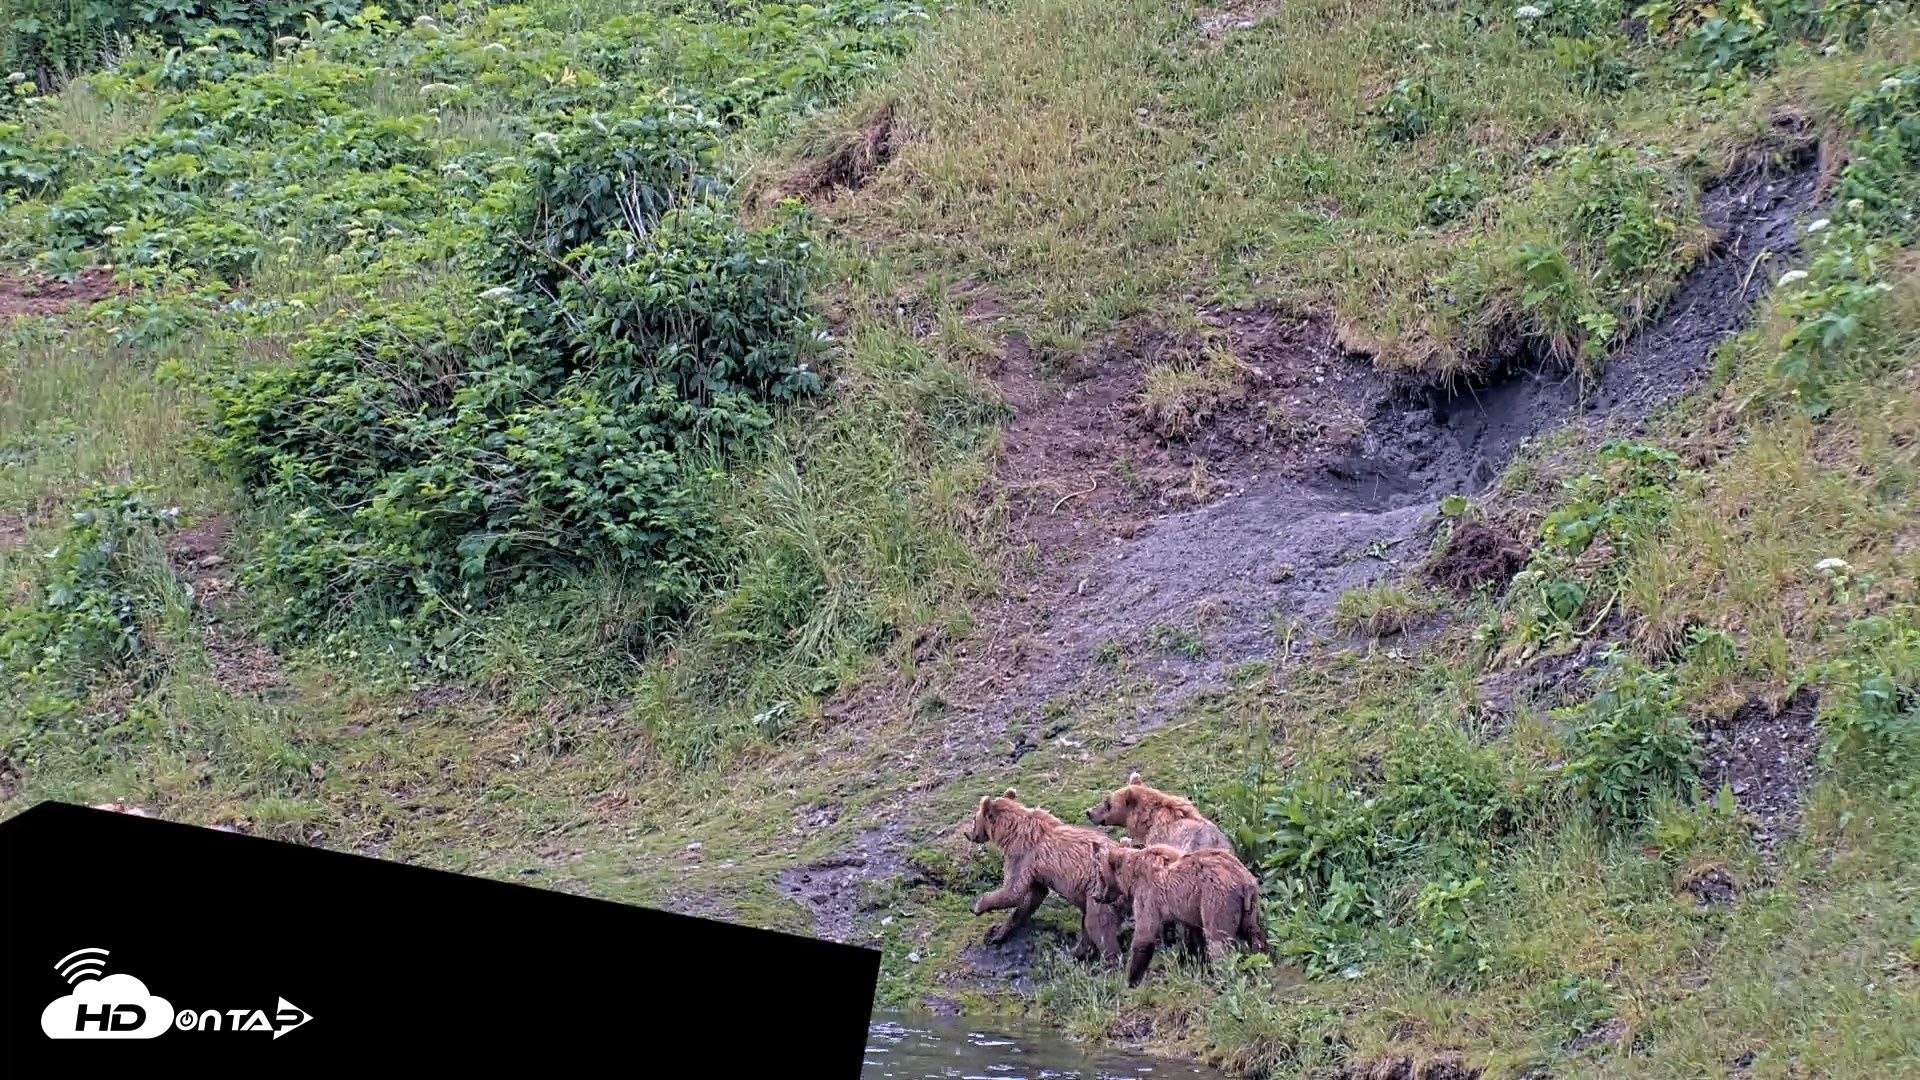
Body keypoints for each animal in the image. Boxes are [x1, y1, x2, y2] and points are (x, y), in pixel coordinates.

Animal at [966, 788, 1126, 963]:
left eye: (974, 818)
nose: (967, 834)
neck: (1010, 832)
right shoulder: (1036, 872)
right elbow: (1032, 897)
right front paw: (998, 933)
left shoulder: (1021, 856)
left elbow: (1013, 891)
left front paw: (978, 906)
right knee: (1089, 925)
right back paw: (1074, 953)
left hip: (1100, 892)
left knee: (1098, 926)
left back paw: (1108, 961)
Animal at [1094, 840, 1267, 987]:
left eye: (1101, 875)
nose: (1096, 896)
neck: (1132, 876)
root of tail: (1244, 881)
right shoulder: (1191, 908)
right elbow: (1194, 935)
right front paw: (1196, 962)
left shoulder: (1148, 895)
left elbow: (1144, 934)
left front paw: (1131, 980)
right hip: (1249, 904)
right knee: (1252, 931)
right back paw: (1261, 957)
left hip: (1217, 898)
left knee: (1218, 940)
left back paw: (1222, 978)